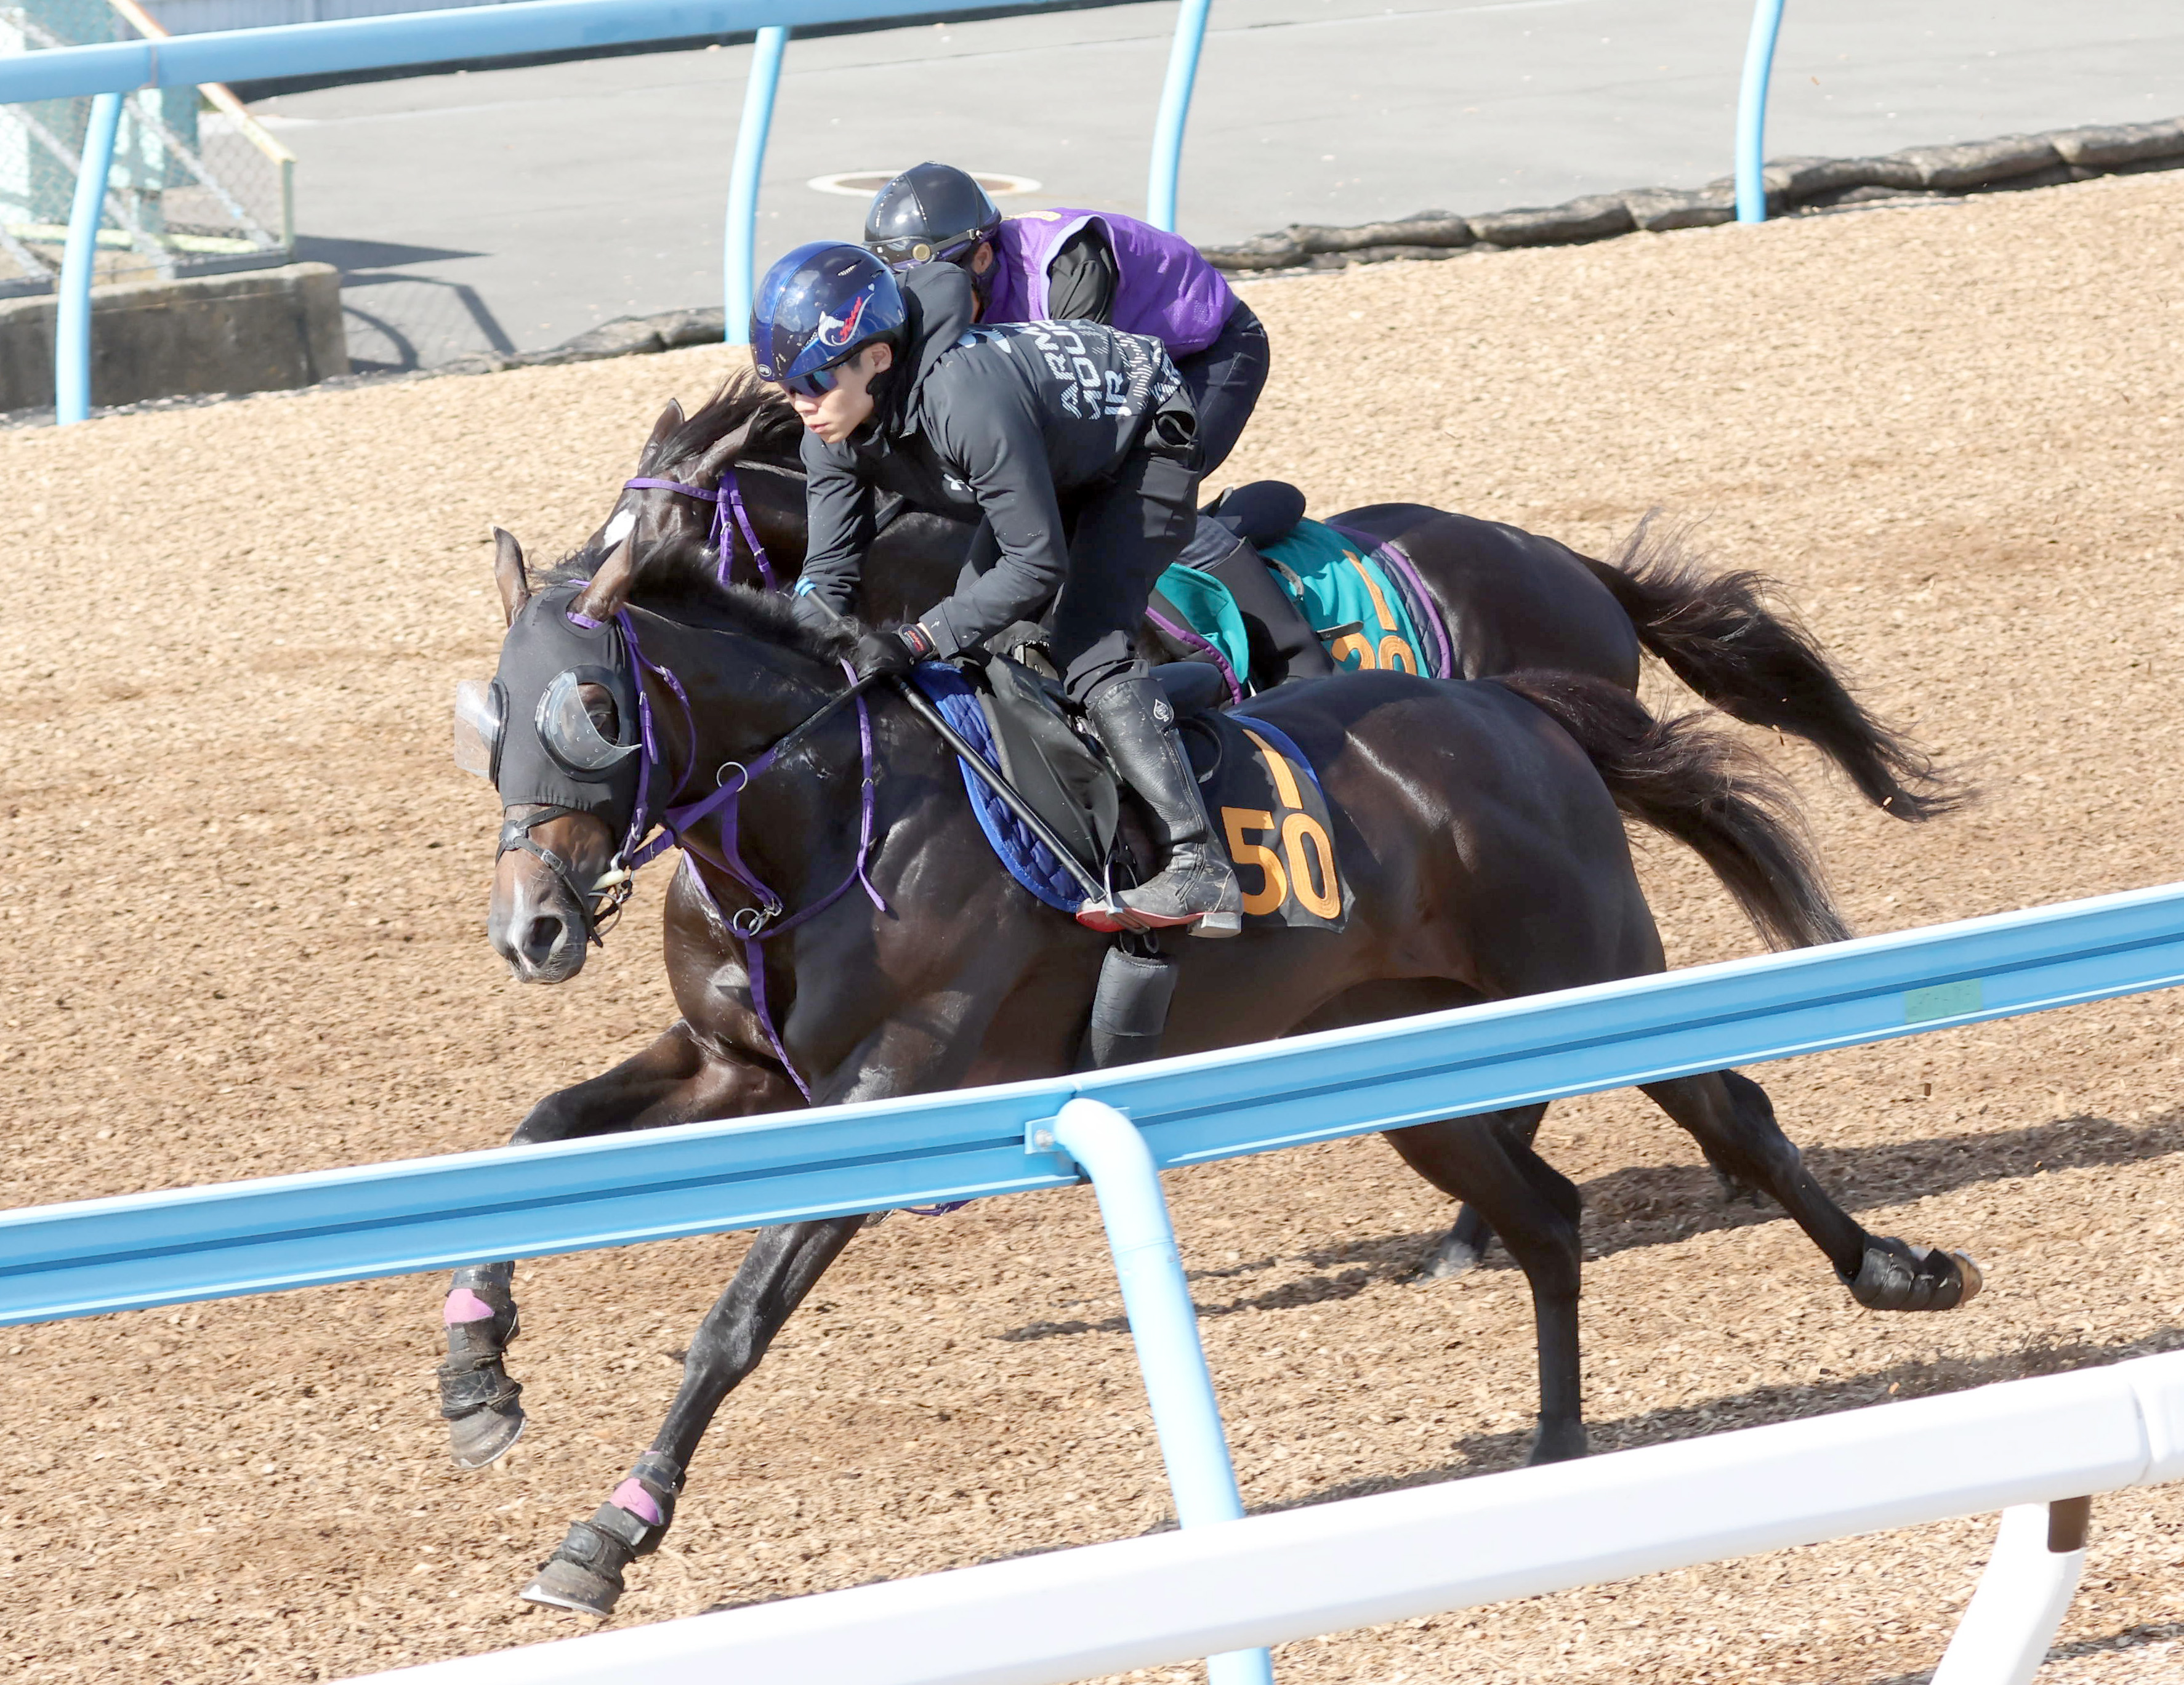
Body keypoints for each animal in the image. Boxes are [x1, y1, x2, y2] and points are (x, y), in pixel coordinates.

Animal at [448, 539, 1983, 1615]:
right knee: (1546, 1209)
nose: (531, 928)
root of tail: (1503, 702)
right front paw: (477, 1374)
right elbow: (530, 1135)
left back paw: (1899, 1271)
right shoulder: (736, 1071)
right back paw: (1552, 1448)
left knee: (1733, 1113)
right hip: (1400, 1050)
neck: (822, 819)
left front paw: (608, 1534)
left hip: (1583, 973)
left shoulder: (894, 1093)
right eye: (489, 720)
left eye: (593, 707)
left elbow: (735, 1319)